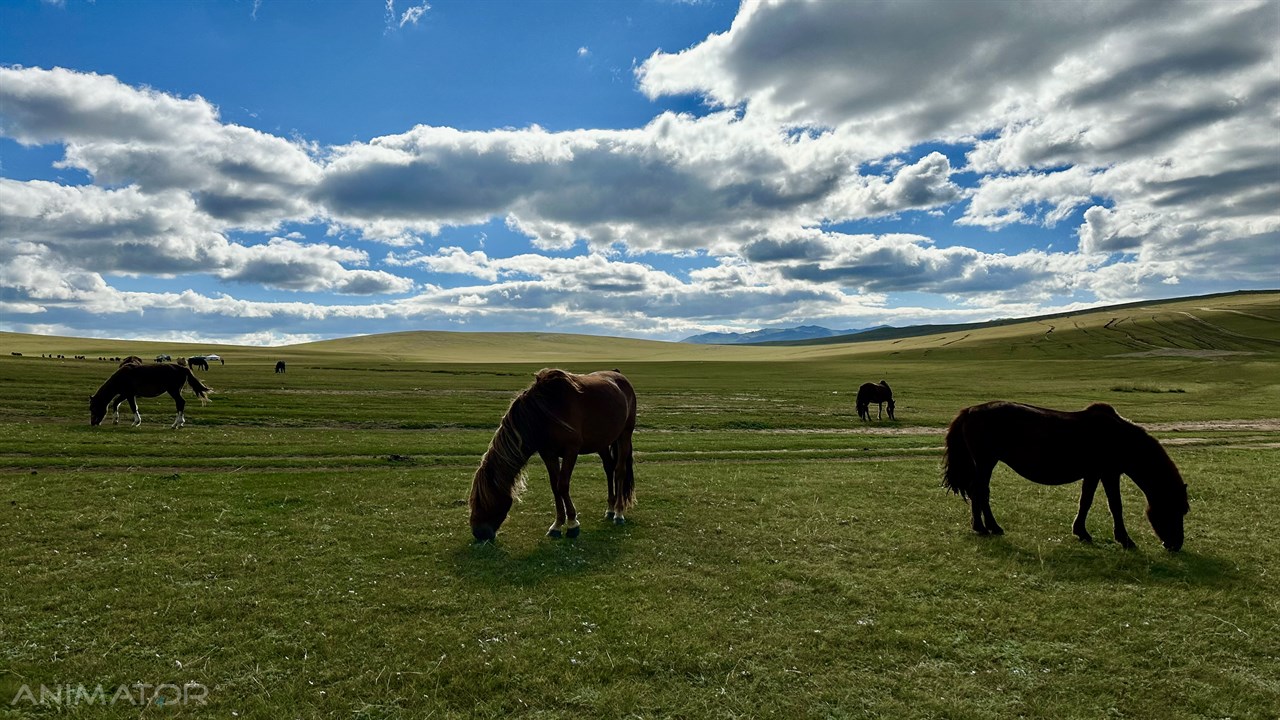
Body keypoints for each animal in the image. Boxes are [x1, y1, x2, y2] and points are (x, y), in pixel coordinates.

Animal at [468, 366, 637, 540]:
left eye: (482, 501)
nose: (478, 532)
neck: (544, 414)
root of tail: (618, 374)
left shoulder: (571, 451)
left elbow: (562, 485)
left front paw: (572, 524)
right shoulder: (548, 454)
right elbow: (555, 487)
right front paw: (557, 525)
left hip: (624, 434)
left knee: (619, 471)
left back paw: (618, 513)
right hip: (602, 442)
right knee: (609, 468)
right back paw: (610, 509)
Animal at [942, 397, 1187, 548]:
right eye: (1177, 510)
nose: (1175, 545)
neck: (1121, 438)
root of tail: (970, 411)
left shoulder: (1094, 474)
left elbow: (1086, 501)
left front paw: (1081, 532)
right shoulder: (1109, 473)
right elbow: (1115, 506)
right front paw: (1125, 540)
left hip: (986, 462)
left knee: (979, 491)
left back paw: (988, 527)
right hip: (985, 461)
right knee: (979, 492)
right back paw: (985, 528)